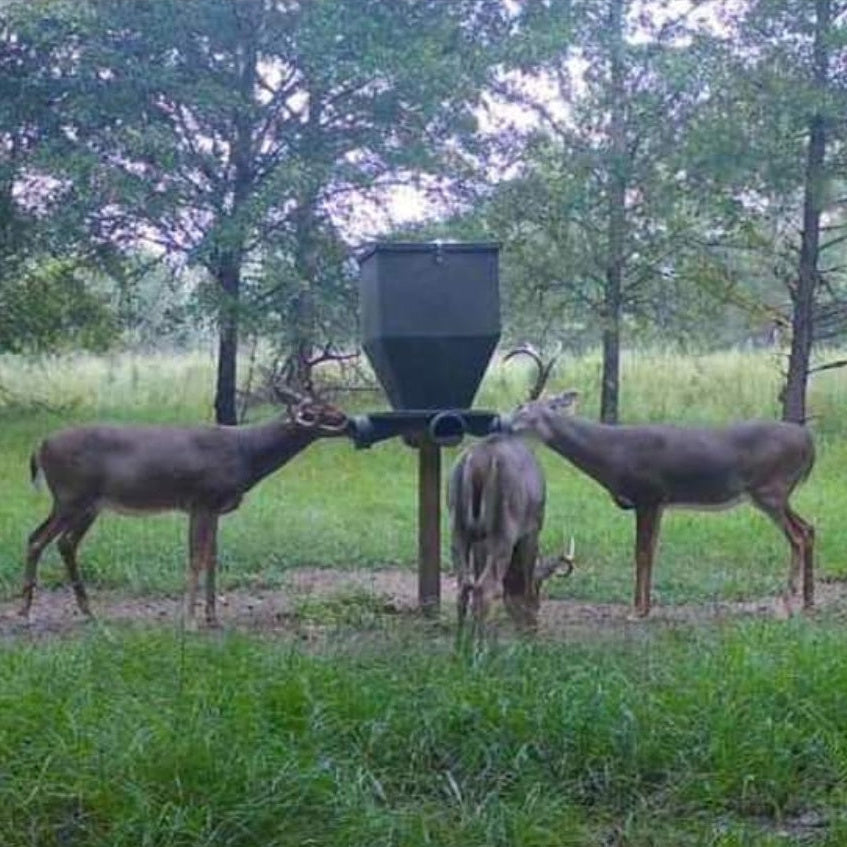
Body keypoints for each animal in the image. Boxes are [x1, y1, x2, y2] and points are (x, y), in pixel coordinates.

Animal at [21, 393, 349, 628]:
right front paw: (190, 620)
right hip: (71, 497)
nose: (346, 418)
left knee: (61, 542)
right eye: (317, 411)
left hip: (87, 504)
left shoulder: (215, 508)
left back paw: (87, 612)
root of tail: (39, 447)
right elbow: (196, 558)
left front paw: (213, 618)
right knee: (39, 540)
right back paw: (25, 613)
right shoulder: (200, 501)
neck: (246, 453)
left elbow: (213, 558)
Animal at [499, 347, 816, 618]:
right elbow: (651, 552)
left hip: (770, 490)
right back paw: (809, 602)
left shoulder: (647, 495)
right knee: (809, 528)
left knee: (797, 536)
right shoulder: (661, 502)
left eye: (522, 407)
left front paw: (636, 611)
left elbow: (640, 553)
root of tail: (808, 442)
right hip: (778, 494)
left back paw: (787, 603)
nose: (502, 424)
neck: (612, 453)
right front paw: (646, 607)